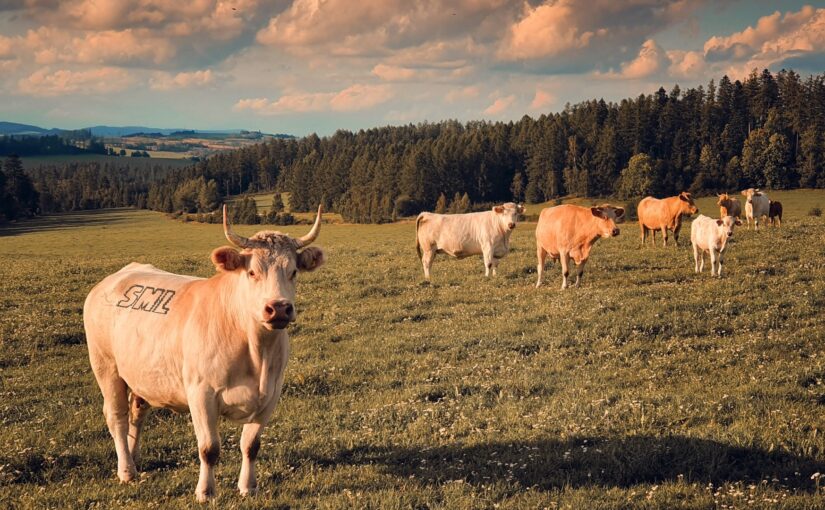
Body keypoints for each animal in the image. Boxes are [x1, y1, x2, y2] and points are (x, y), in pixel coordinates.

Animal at [83, 205, 326, 502]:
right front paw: (206, 491)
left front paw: (248, 486)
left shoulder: (271, 395)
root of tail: (117, 277)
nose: (278, 308)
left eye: (293, 272)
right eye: (252, 273)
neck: (256, 351)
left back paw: (134, 457)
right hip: (106, 366)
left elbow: (251, 445)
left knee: (136, 411)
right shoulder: (201, 393)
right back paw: (126, 470)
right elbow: (209, 449)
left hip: (141, 372)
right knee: (116, 416)